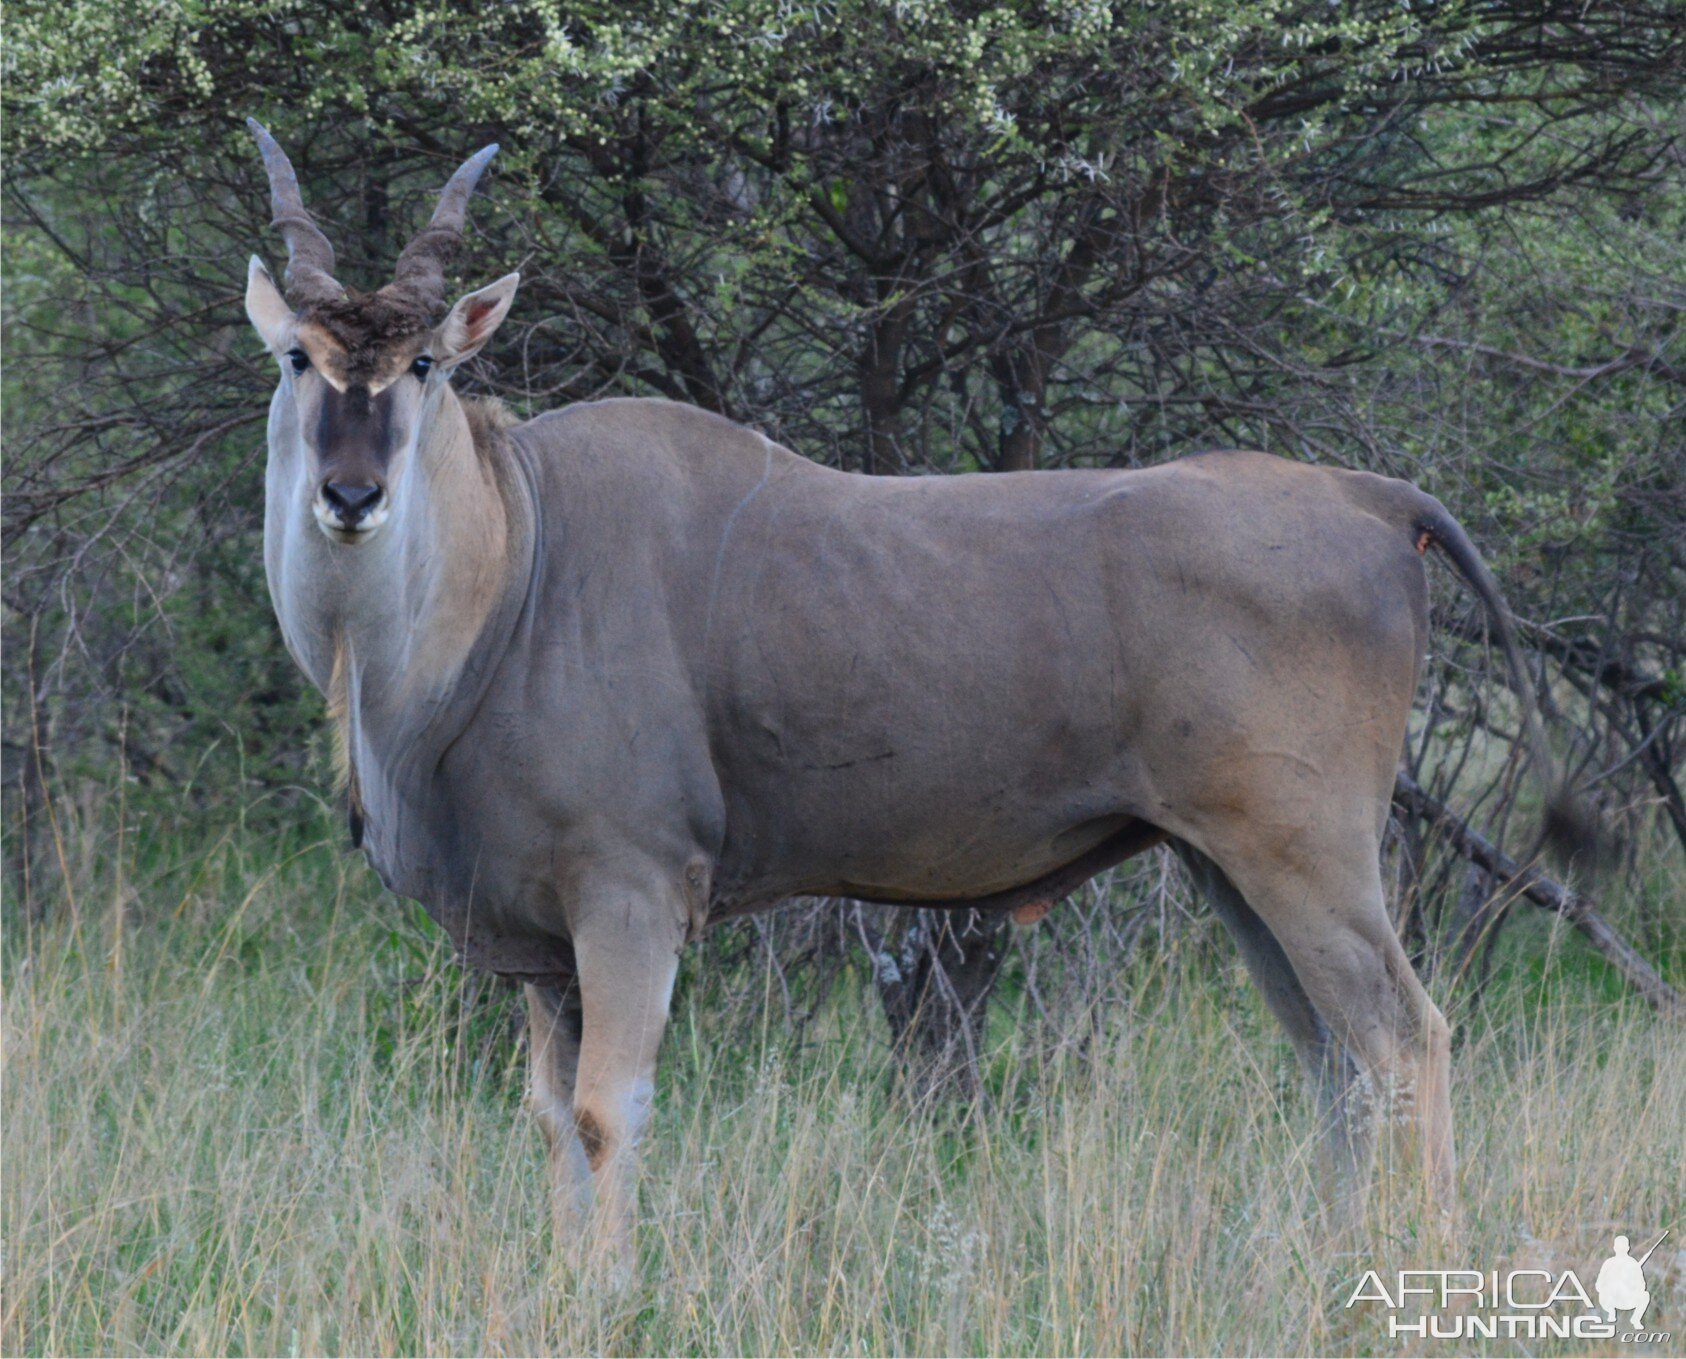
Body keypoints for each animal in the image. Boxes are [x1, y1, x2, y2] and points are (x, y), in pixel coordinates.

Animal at [244, 122, 1571, 1274]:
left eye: (424, 364)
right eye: (298, 358)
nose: (351, 494)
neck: (515, 561)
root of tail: (1373, 499)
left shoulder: (627, 897)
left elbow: (606, 1114)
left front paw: (612, 1294)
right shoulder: (545, 956)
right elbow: (551, 1122)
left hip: (1306, 855)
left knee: (1404, 1039)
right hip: (1230, 868)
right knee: (1333, 1061)